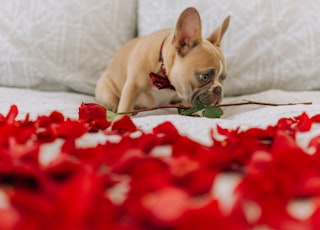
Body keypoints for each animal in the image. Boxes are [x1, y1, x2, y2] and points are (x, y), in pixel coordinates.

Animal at [95, 7, 230, 114]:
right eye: (204, 77)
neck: (162, 65)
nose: (219, 89)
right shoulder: (133, 85)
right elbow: (125, 107)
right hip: (107, 93)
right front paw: (121, 119)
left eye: (223, 79)